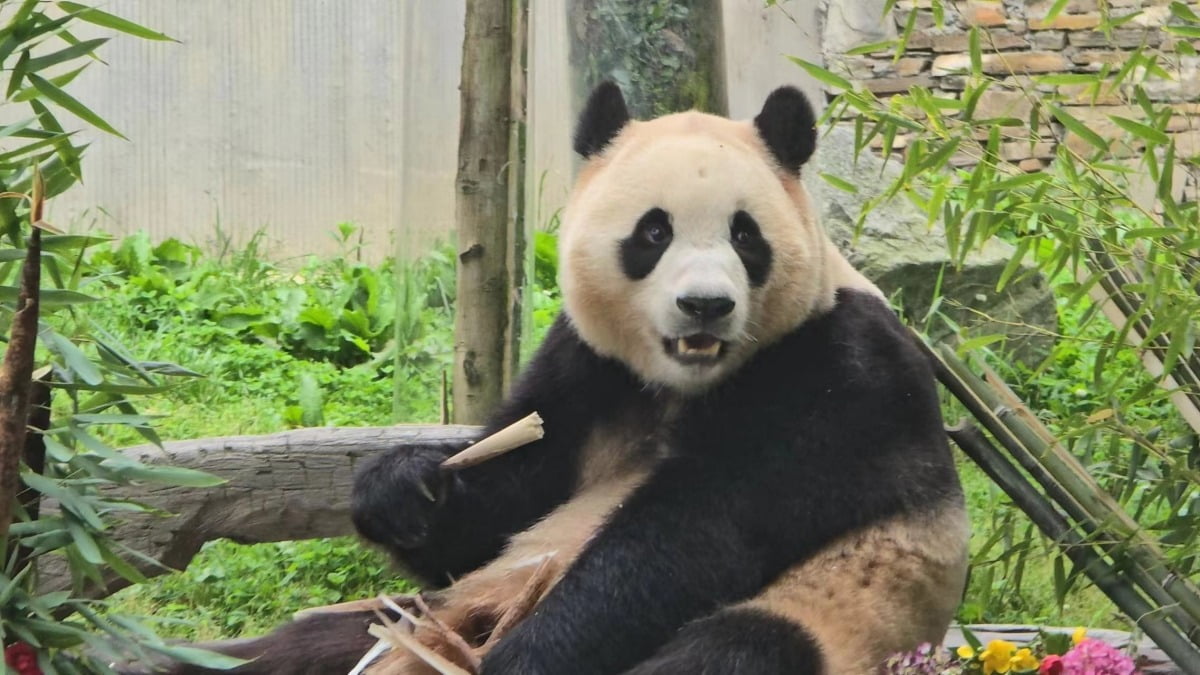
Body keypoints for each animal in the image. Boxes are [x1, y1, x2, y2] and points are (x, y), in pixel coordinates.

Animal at [159, 81, 969, 667]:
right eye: (654, 232)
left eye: (746, 235)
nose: (705, 306)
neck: (683, 384)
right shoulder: (586, 366)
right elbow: (509, 496)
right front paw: (401, 488)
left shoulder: (840, 377)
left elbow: (688, 538)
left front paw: (528, 656)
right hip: (412, 620)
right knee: (300, 645)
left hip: (837, 615)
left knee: (738, 648)